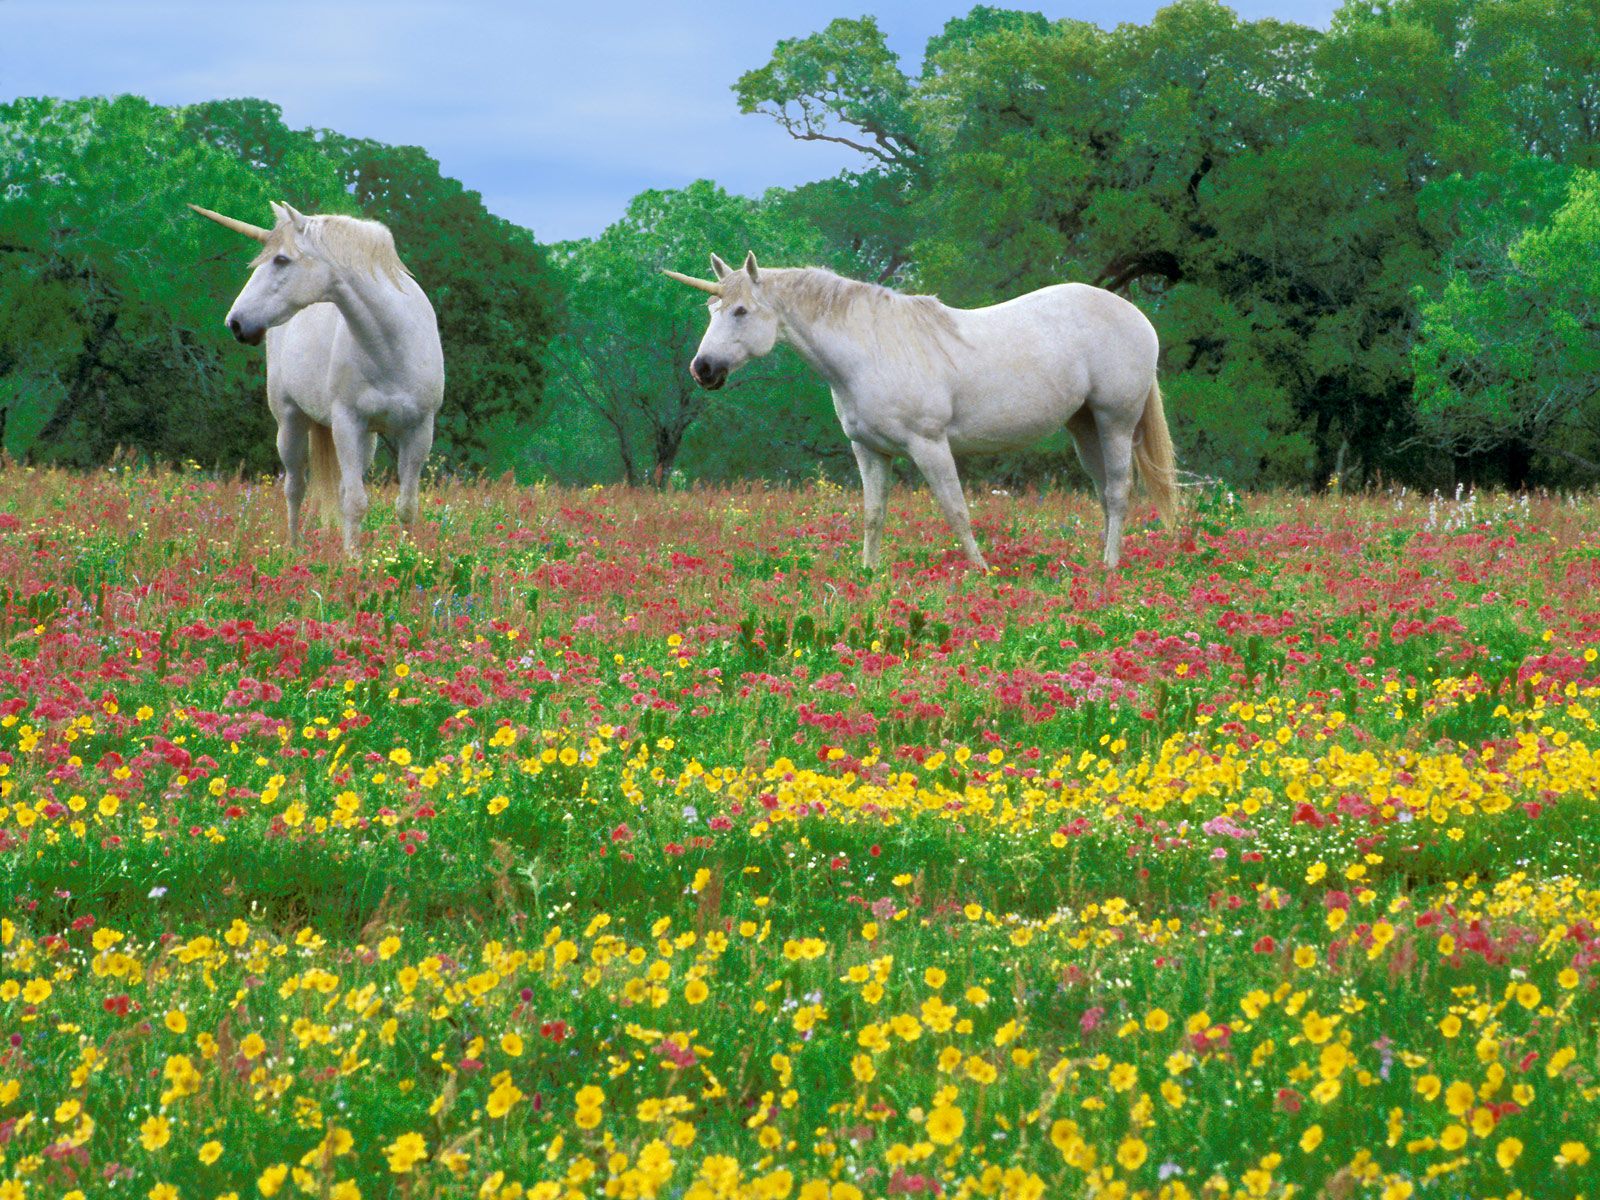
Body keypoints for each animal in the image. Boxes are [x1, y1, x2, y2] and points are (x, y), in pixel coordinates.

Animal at [190, 202, 445, 556]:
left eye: (282, 259)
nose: (236, 323)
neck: (392, 347)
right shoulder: (347, 423)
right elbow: (355, 502)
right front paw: (353, 561)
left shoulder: (419, 430)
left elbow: (406, 505)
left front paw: (404, 559)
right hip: (291, 422)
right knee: (295, 488)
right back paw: (294, 549)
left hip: (368, 439)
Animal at [667, 254, 1177, 570]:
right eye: (711, 308)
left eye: (740, 310)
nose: (702, 369)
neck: (869, 350)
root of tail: (1137, 316)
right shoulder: (869, 450)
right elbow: (873, 513)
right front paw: (869, 573)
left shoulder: (929, 445)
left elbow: (956, 510)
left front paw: (981, 570)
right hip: (1084, 425)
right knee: (1102, 493)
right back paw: (1094, 562)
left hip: (1115, 421)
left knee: (1118, 492)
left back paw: (1109, 566)